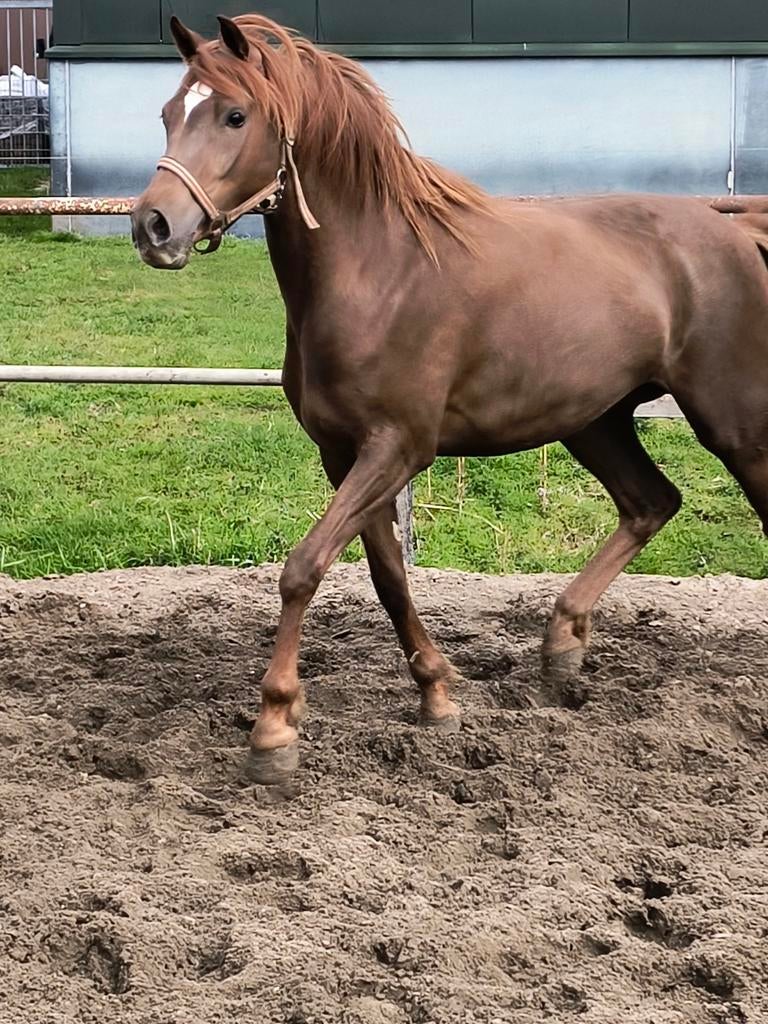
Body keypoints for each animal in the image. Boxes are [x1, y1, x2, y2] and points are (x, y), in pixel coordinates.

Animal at [132, 13, 768, 785]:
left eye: (234, 115)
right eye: (169, 113)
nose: (153, 227)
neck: (379, 270)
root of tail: (736, 232)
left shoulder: (399, 446)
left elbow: (302, 569)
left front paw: (274, 729)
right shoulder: (344, 455)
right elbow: (385, 576)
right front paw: (436, 696)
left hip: (735, 423)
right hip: (595, 421)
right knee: (651, 502)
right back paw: (562, 650)